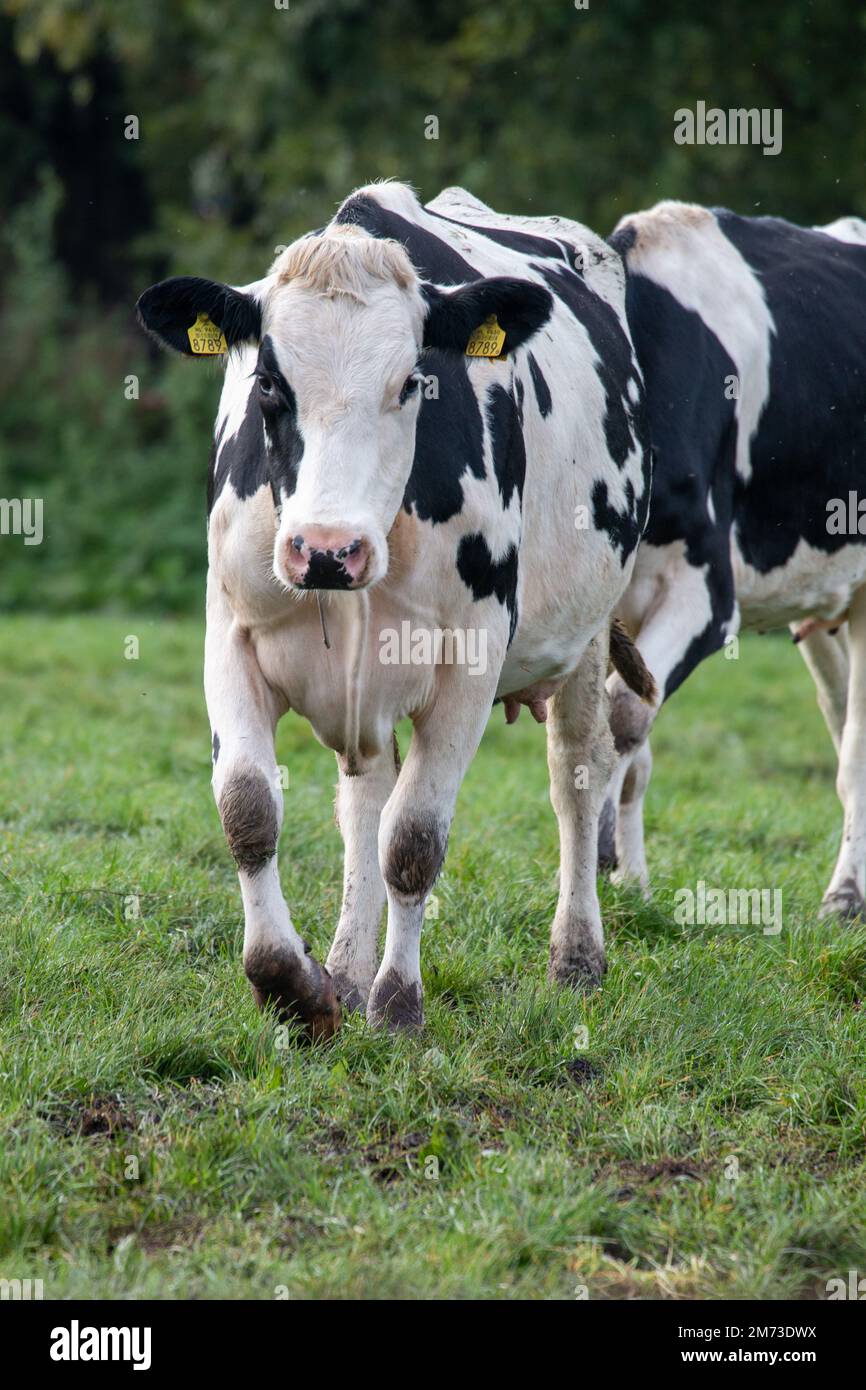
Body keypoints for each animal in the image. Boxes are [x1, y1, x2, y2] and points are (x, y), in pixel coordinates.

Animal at [136, 181, 654, 1039]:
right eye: (268, 382)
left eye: (413, 380)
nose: (326, 549)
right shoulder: (230, 636)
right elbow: (249, 809)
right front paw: (296, 986)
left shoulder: (471, 659)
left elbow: (414, 839)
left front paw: (399, 1004)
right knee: (362, 801)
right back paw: (345, 968)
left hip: (585, 635)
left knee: (577, 775)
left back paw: (577, 956)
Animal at [600, 201, 866, 919]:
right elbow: (634, 752)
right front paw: (629, 884)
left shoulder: (705, 598)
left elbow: (624, 715)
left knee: (856, 755)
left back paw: (844, 897)